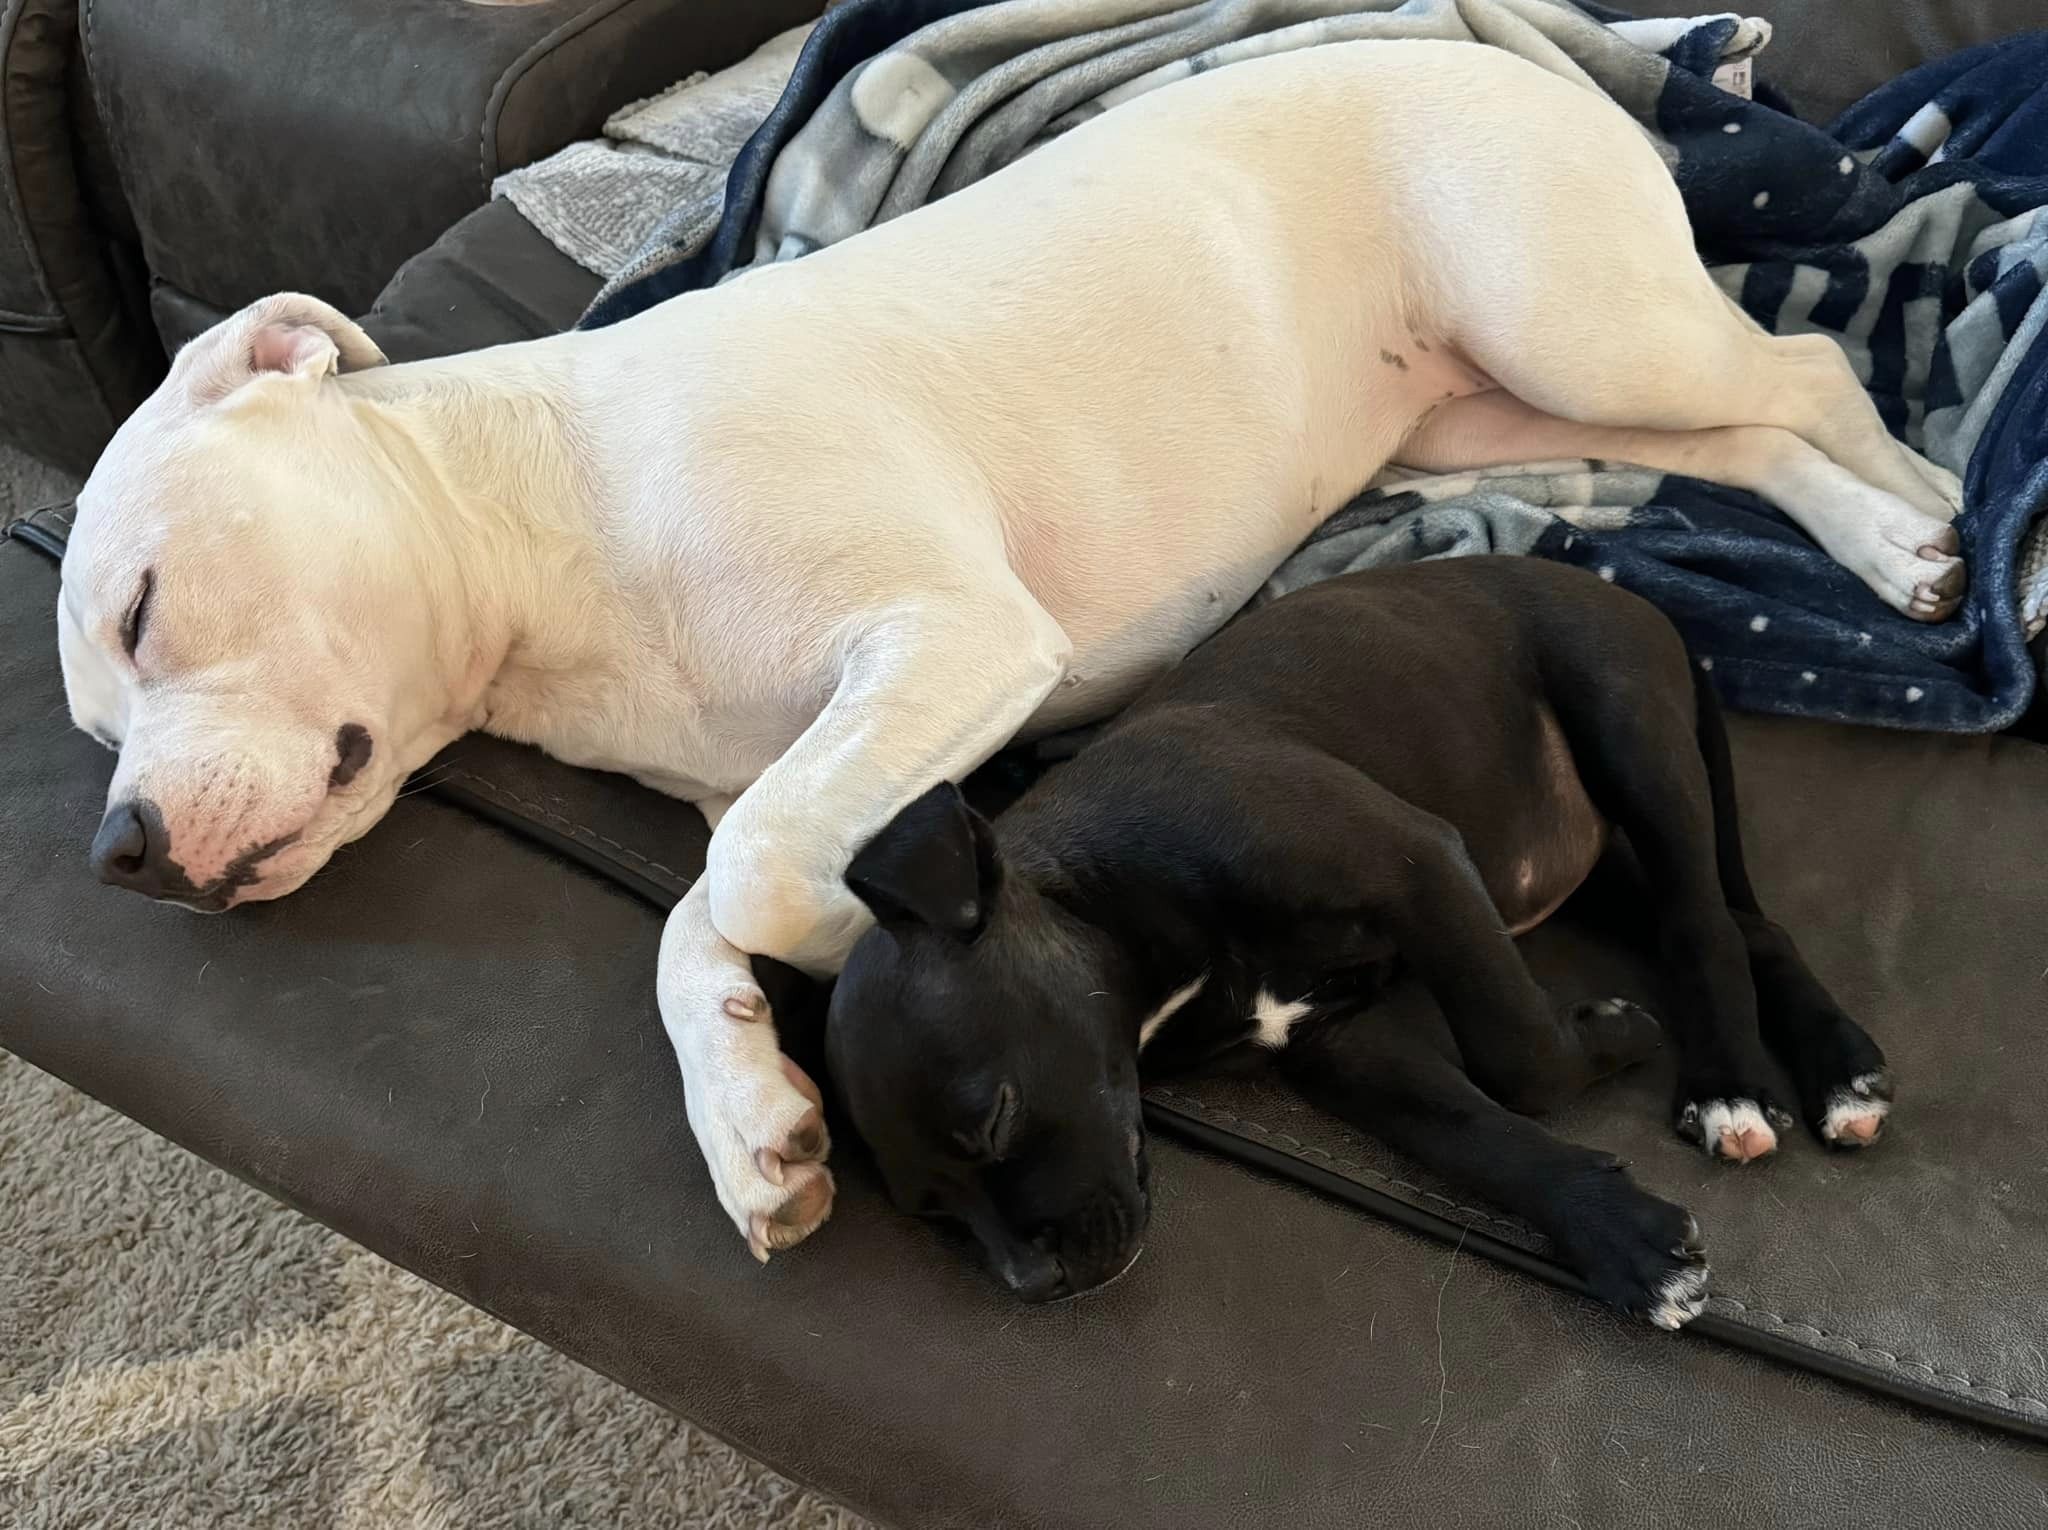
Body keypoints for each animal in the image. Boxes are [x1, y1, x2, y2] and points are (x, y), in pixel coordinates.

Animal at [823, 561, 1892, 1327]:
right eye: (931, 1213)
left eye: (994, 1119)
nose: (1031, 1286)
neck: (1113, 900)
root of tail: (1625, 593)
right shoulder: (1342, 1043)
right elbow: (1479, 1137)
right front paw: (1620, 1240)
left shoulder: (1418, 869)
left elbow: (1522, 1059)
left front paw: (1613, 1035)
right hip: (1596, 865)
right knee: (1743, 924)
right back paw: (1842, 1073)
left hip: (1629, 731)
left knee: (1704, 924)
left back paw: (1730, 1084)